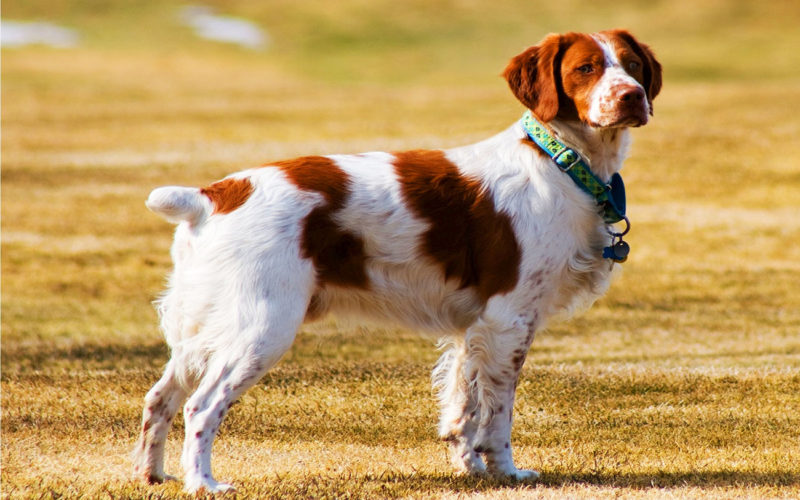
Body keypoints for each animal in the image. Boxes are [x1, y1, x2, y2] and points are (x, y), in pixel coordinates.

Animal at [134, 28, 660, 492]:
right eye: (586, 68)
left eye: (632, 65)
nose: (632, 97)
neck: (560, 163)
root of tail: (214, 194)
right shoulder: (510, 318)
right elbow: (497, 412)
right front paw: (506, 471)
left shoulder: (474, 327)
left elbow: (464, 405)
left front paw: (470, 468)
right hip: (262, 326)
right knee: (200, 407)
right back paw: (203, 482)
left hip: (204, 328)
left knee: (160, 397)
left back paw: (152, 475)